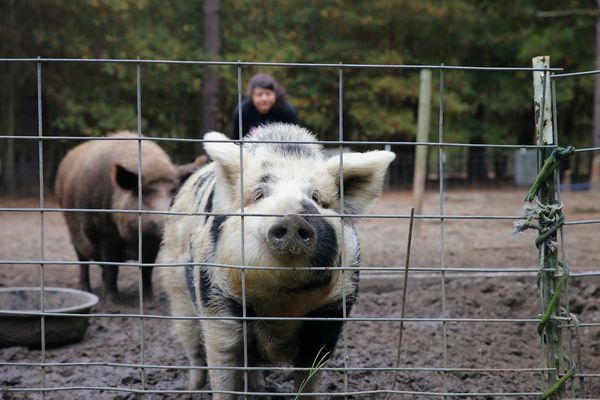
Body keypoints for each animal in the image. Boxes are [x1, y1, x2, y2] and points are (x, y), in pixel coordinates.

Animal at [159, 123, 394, 398]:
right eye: (259, 195)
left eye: (316, 198)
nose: (293, 218)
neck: (281, 302)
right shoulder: (218, 305)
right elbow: (223, 366)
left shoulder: (330, 315)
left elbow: (309, 375)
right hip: (177, 290)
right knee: (194, 348)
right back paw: (192, 389)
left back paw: (260, 388)